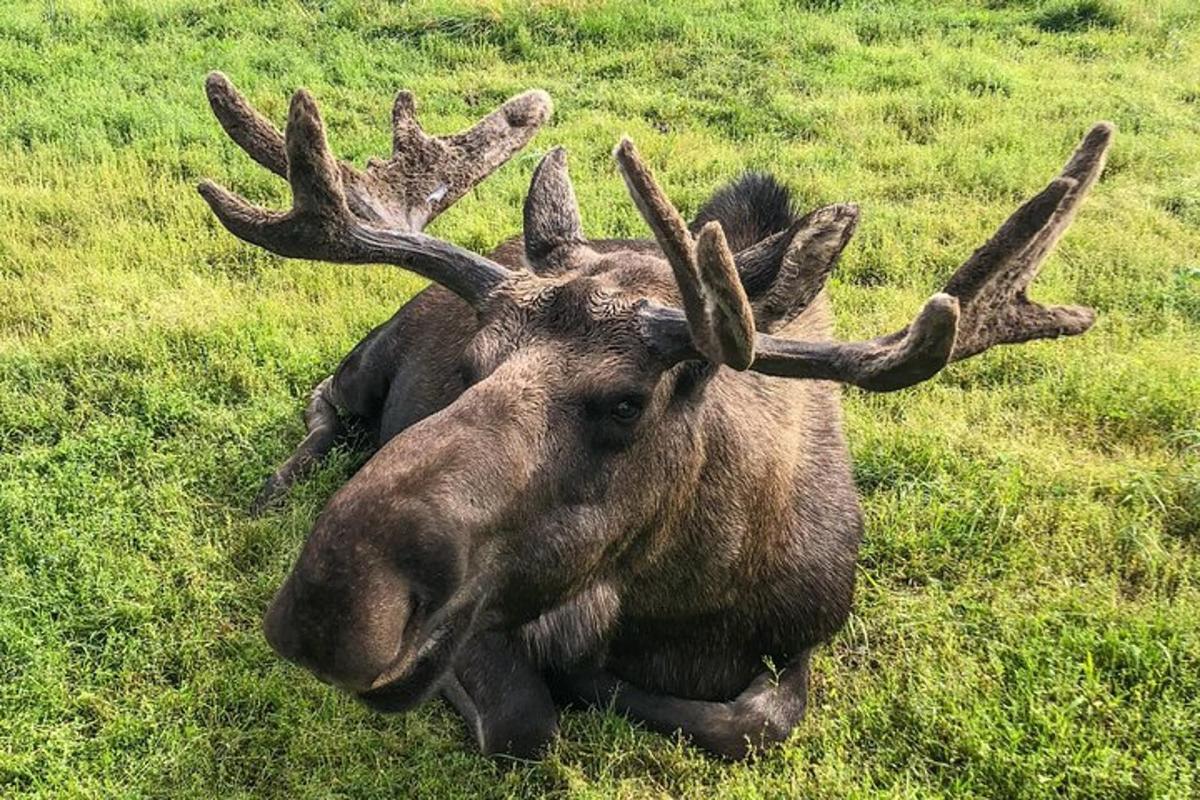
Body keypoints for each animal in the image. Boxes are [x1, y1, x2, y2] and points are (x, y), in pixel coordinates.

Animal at [199, 71, 1113, 762]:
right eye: (472, 365)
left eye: (626, 403)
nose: (328, 607)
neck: (688, 604)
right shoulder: (495, 623)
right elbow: (525, 725)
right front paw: (581, 681)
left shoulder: (807, 633)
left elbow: (754, 721)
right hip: (370, 361)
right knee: (325, 402)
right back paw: (277, 489)